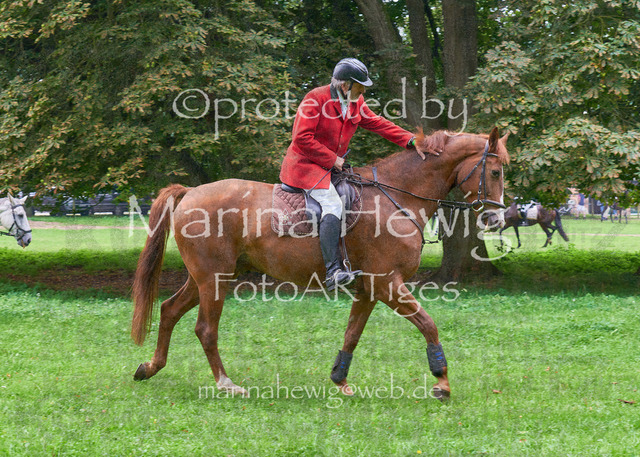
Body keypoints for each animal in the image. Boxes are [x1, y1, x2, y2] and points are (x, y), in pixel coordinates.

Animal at [130, 128, 510, 402]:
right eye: (494, 171)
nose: (496, 218)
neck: (397, 195)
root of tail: (191, 192)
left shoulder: (370, 287)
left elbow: (352, 334)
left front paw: (339, 378)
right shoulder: (388, 283)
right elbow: (429, 325)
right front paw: (441, 381)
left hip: (208, 277)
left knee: (169, 310)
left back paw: (150, 367)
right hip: (214, 279)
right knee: (206, 329)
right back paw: (225, 384)